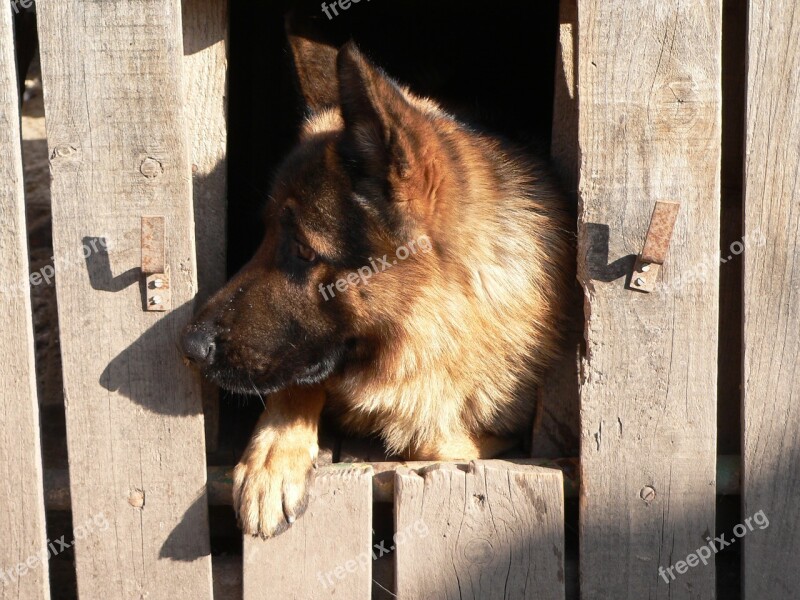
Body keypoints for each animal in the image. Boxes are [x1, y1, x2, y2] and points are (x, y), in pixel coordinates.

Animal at [180, 35, 576, 536]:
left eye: (304, 250)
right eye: (265, 234)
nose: (189, 346)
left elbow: (429, 442)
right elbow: (303, 380)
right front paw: (272, 457)